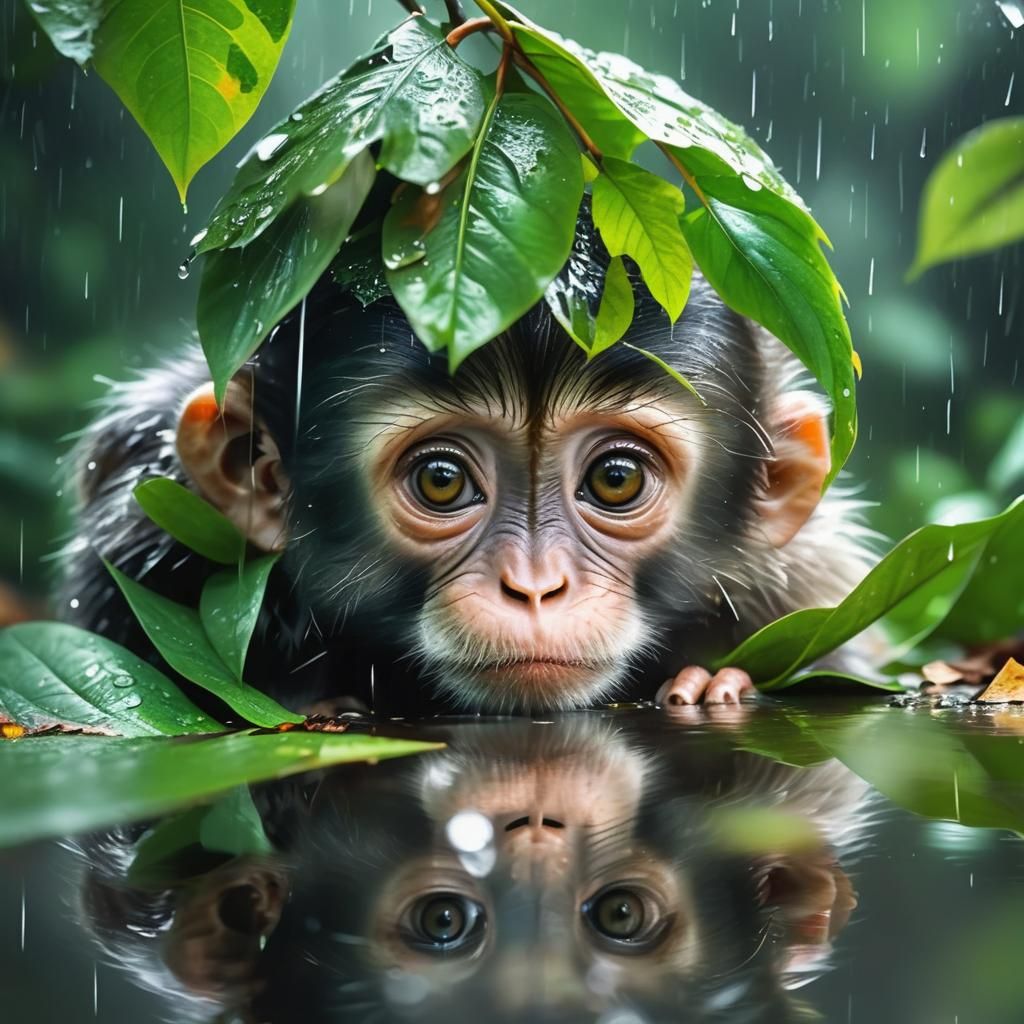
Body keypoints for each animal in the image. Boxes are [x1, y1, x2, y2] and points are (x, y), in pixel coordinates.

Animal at [57, 209, 876, 717]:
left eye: (616, 480)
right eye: (442, 480)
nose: (535, 586)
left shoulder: (800, 581)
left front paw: (717, 683)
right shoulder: (147, 540)